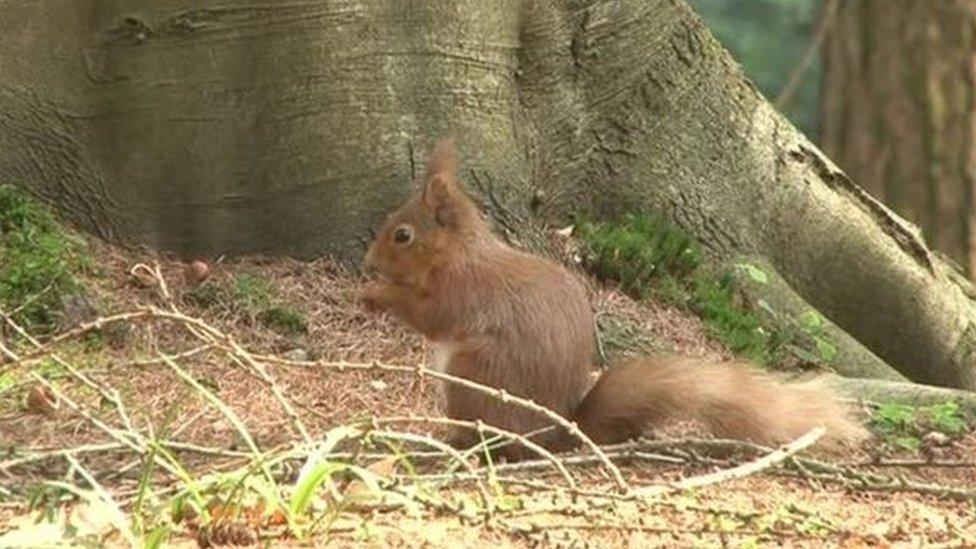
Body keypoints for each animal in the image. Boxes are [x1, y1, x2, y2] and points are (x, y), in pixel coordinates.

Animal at [362, 139, 864, 460]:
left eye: (402, 235)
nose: (368, 261)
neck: (459, 253)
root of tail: (555, 435)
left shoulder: (462, 290)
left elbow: (430, 314)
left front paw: (376, 294)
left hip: (474, 375)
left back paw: (461, 444)